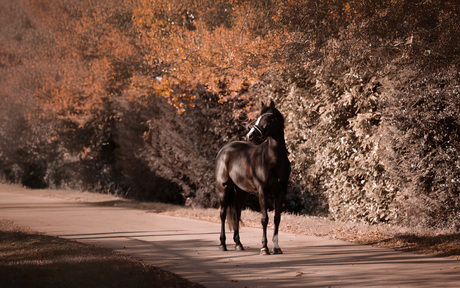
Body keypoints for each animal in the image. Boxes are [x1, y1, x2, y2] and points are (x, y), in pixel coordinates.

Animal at [214, 100, 290, 254]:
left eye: (268, 119)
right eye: (258, 118)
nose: (250, 135)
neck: (274, 159)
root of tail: (224, 150)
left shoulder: (281, 192)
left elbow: (277, 218)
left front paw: (276, 247)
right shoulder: (262, 191)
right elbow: (264, 219)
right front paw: (264, 247)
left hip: (240, 192)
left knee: (237, 213)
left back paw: (238, 244)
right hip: (223, 188)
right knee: (223, 214)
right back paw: (222, 244)